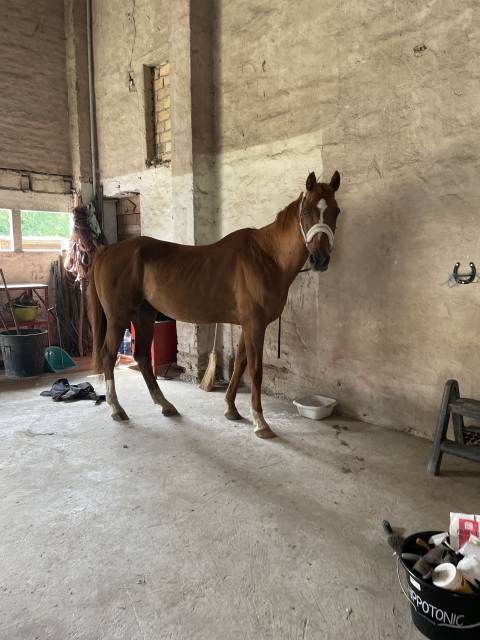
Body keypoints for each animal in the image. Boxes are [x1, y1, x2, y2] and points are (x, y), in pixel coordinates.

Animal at [89, 170, 341, 438]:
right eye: (307, 211)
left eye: (336, 211)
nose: (320, 259)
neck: (266, 257)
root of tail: (106, 251)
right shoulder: (255, 325)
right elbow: (256, 370)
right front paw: (260, 422)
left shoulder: (247, 325)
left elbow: (240, 364)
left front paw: (231, 408)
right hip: (118, 318)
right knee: (108, 355)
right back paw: (117, 409)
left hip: (144, 314)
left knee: (143, 356)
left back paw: (165, 405)